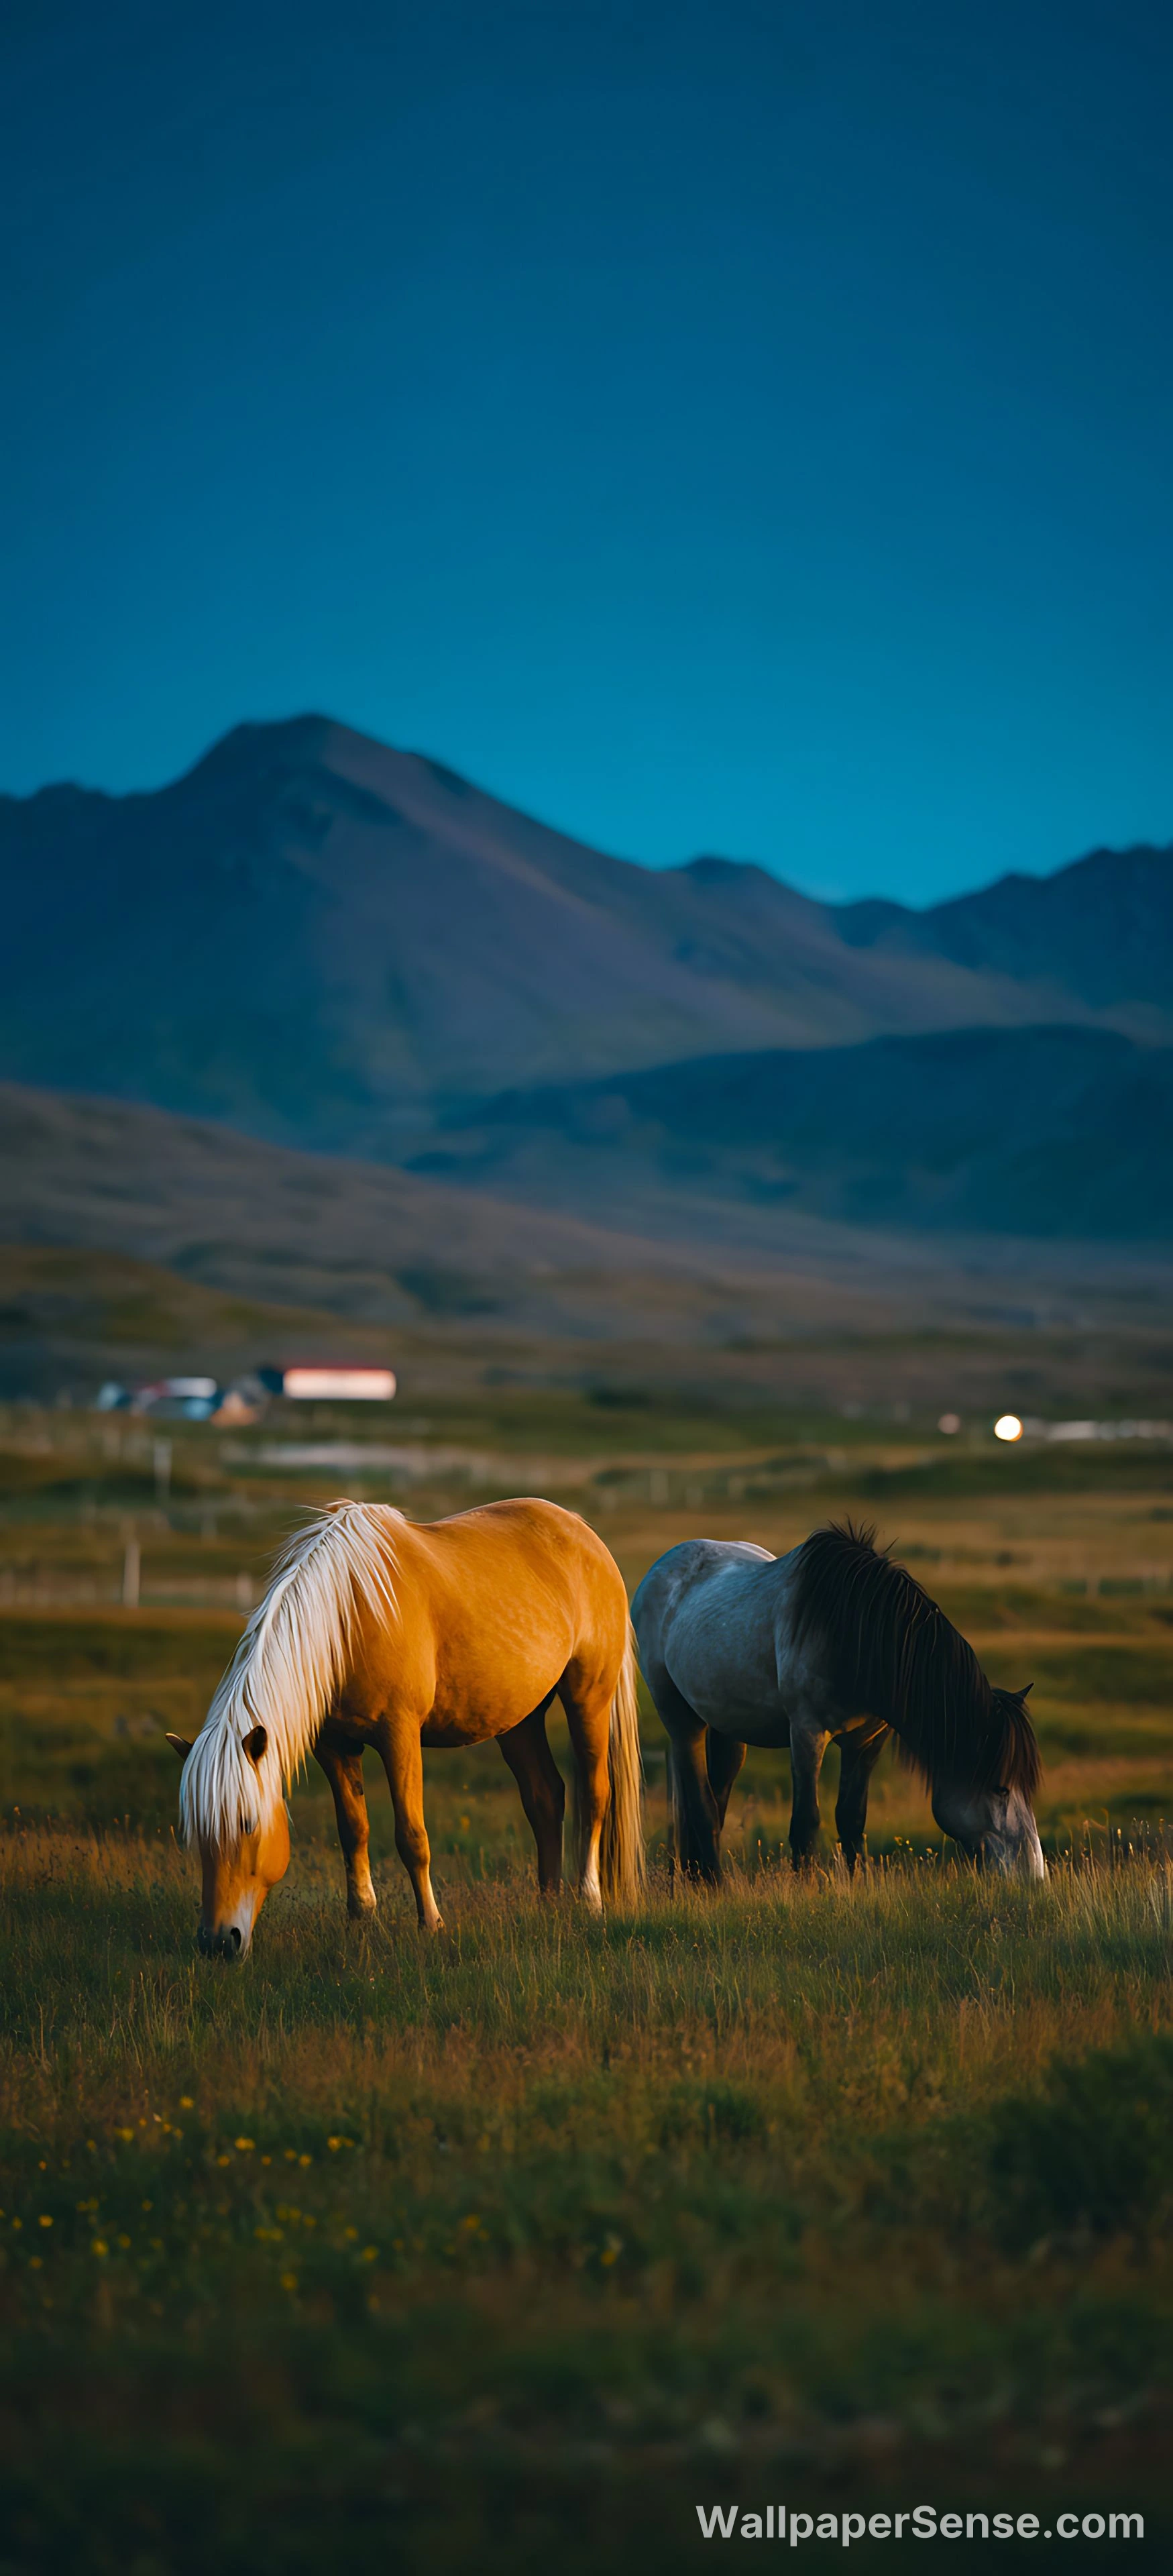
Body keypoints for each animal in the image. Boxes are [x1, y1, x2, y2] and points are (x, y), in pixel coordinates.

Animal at [165, 1495, 645, 1958]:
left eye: (247, 1823)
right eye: (197, 1833)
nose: (218, 1941)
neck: (348, 1617)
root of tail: (581, 1530)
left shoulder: (399, 1736)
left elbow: (412, 1836)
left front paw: (431, 1924)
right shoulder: (334, 1746)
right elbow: (353, 1831)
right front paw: (361, 1920)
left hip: (588, 1697)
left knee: (594, 1794)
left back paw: (589, 1900)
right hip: (519, 1720)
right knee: (545, 1797)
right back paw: (548, 1904)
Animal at [632, 1519, 1043, 1882]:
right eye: (1000, 1787)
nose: (1034, 1875)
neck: (851, 1633)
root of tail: (659, 1569)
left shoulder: (867, 1742)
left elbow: (852, 1818)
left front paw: (856, 1883)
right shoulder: (807, 1734)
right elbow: (806, 1822)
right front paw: (807, 1890)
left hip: (727, 1724)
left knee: (716, 1795)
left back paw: (697, 1878)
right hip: (679, 1716)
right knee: (699, 1802)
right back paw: (716, 1884)